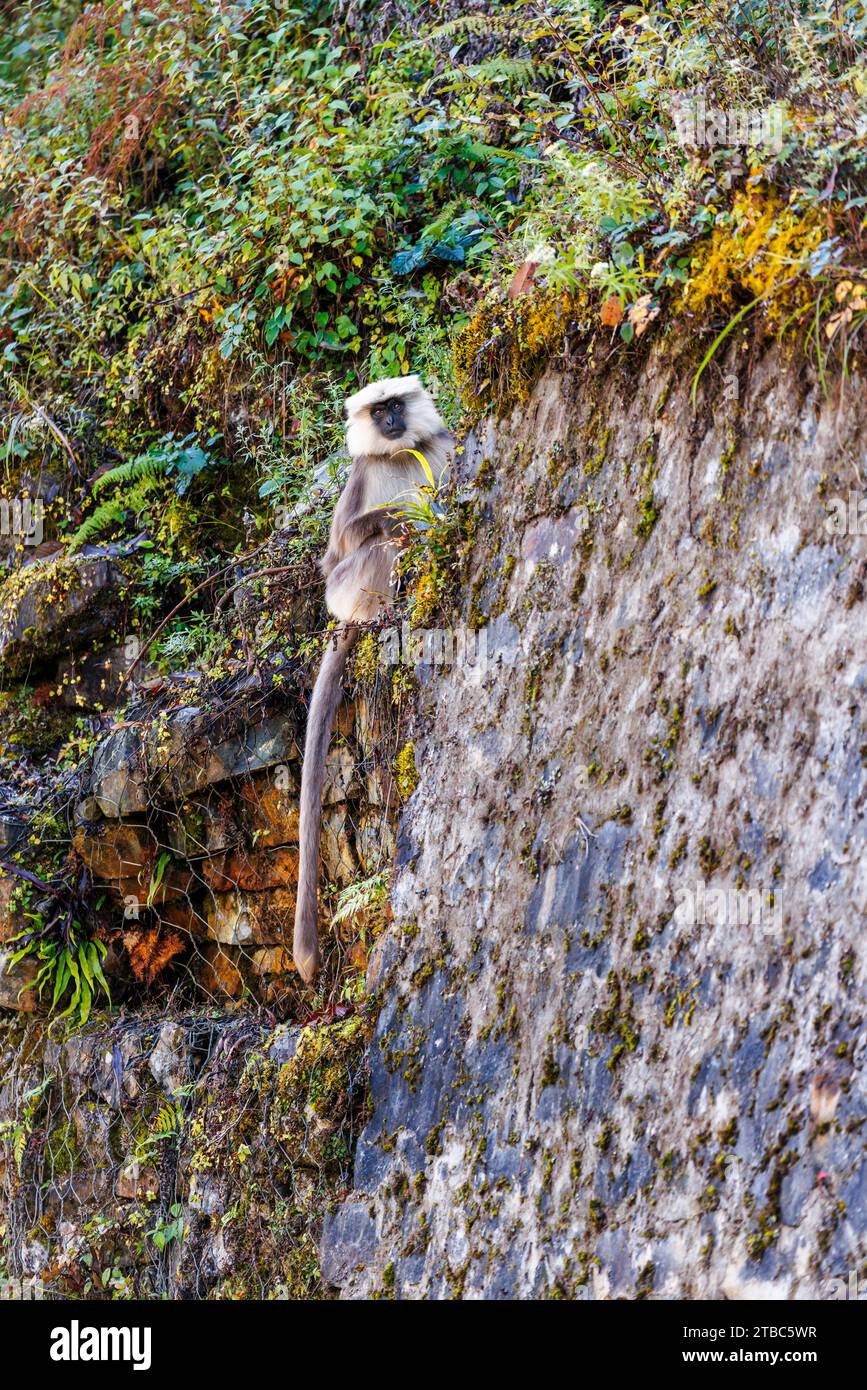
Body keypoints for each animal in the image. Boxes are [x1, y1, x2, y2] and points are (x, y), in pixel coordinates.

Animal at [293, 369, 452, 978]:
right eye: (378, 409)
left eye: (396, 406)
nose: (390, 422)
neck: (400, 451)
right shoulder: (359, 479)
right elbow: (336, 550)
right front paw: (408, 514)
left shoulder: (441, 446)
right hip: (346, 592)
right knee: (379, 547)